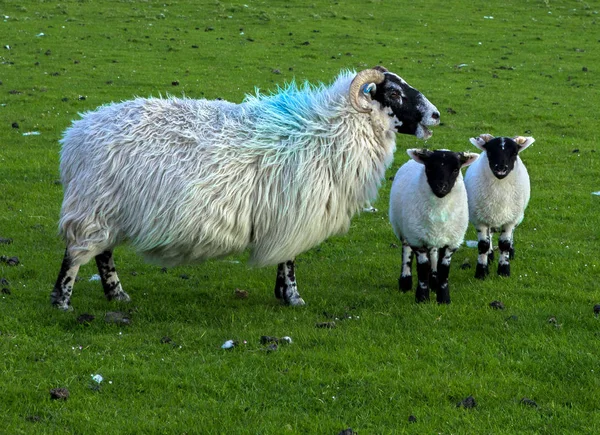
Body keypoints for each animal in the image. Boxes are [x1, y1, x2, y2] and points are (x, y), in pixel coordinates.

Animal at [51, 65, 440, 310]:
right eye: (394, 92)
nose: (436, 115)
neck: (329, 131)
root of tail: (75, 137)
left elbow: (284, 260)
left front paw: (281, 294)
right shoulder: (291, 211)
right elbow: (289, 259)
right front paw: (293, 298)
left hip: (106, 206)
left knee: (103, 253)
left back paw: (116, 296)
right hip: (93, 203)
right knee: (76, 254)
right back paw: (62, 301)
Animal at [464, 133, 536, 282]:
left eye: (514, 153)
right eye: (490, 152)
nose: (501, 168)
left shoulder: (510, 220)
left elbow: (505, 244)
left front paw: (504, 270)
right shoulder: (480, 220)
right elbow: (483, 245)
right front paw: (481, 272)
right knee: (490, 235)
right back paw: (491, 255)